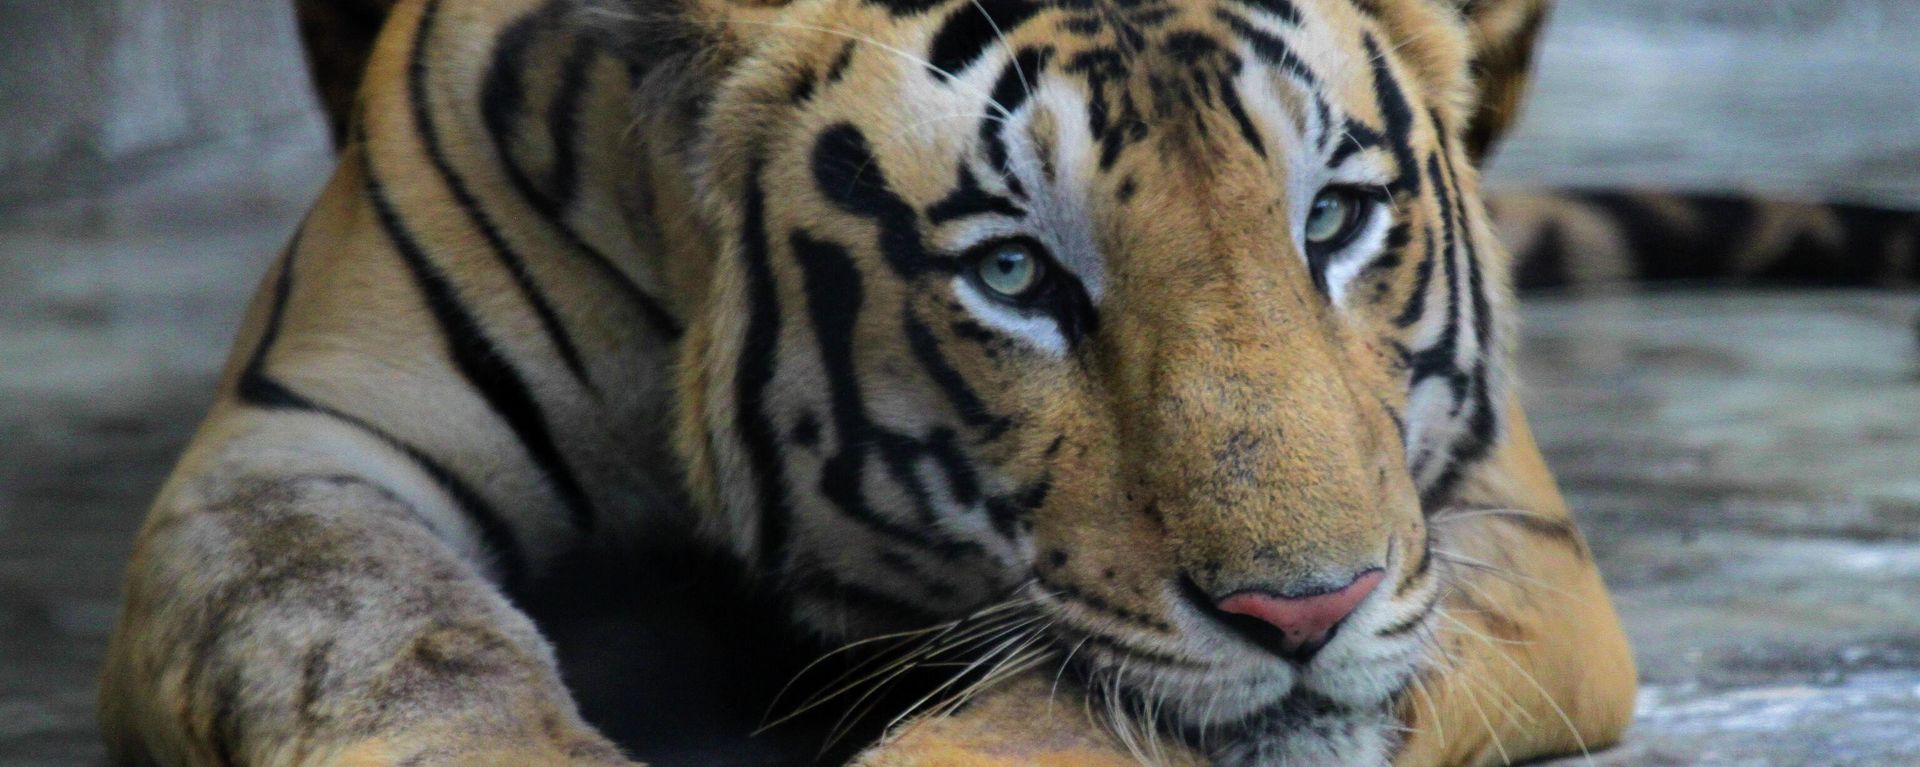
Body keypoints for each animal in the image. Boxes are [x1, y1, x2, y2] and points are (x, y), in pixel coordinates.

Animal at [102, 0, 1910, 765]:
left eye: (1331, 218)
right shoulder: (299, 450)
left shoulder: (1487, 523)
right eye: (1016, 276)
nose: (1307, 611)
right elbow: (381, 642)